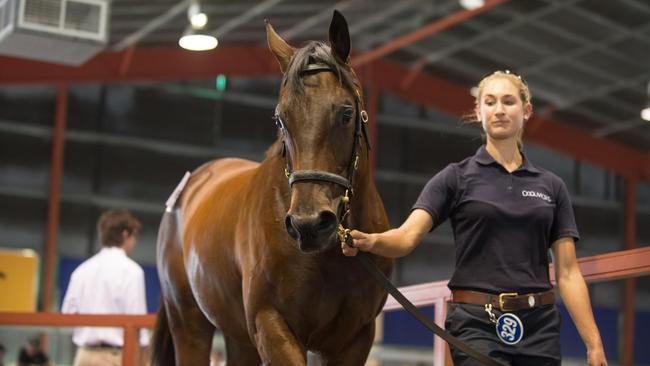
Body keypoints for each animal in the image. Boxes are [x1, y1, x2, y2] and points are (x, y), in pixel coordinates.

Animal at [152, 10, 392, 364]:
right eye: (280, 119)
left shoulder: (355, 338)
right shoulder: (271, 324)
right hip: (189, 323)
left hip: (239, 338)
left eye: (347, 113)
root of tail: (186, 189)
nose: (309, 224)